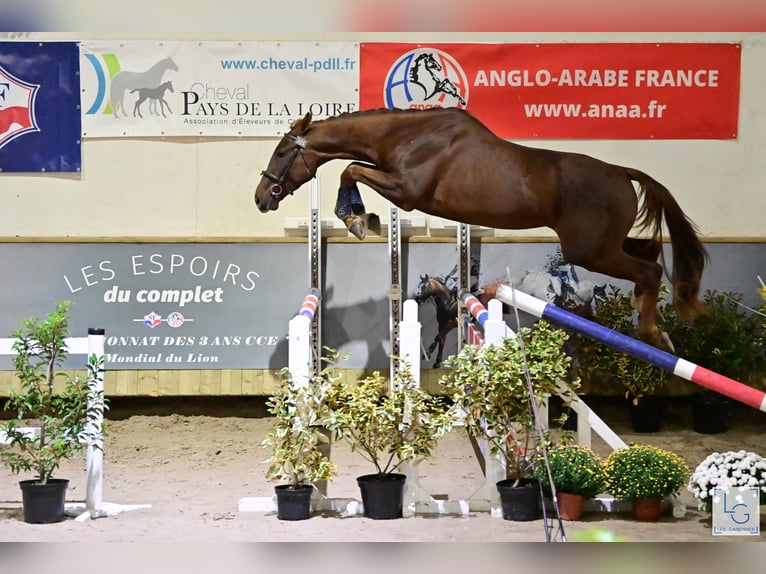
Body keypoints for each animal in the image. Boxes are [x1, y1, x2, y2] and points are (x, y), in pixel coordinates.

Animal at [256, 108, 708, 352]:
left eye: (281, 152)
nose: (262, 198)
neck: (408, 136)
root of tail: (621, 172)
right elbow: (353, 168)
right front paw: (361, 217)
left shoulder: (406, 191)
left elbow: (350, 168)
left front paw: (356, 218)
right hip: (604, 244)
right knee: (649, 253)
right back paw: (645, 313)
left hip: (589, 250)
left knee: (650, 268)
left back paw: (652, 333)